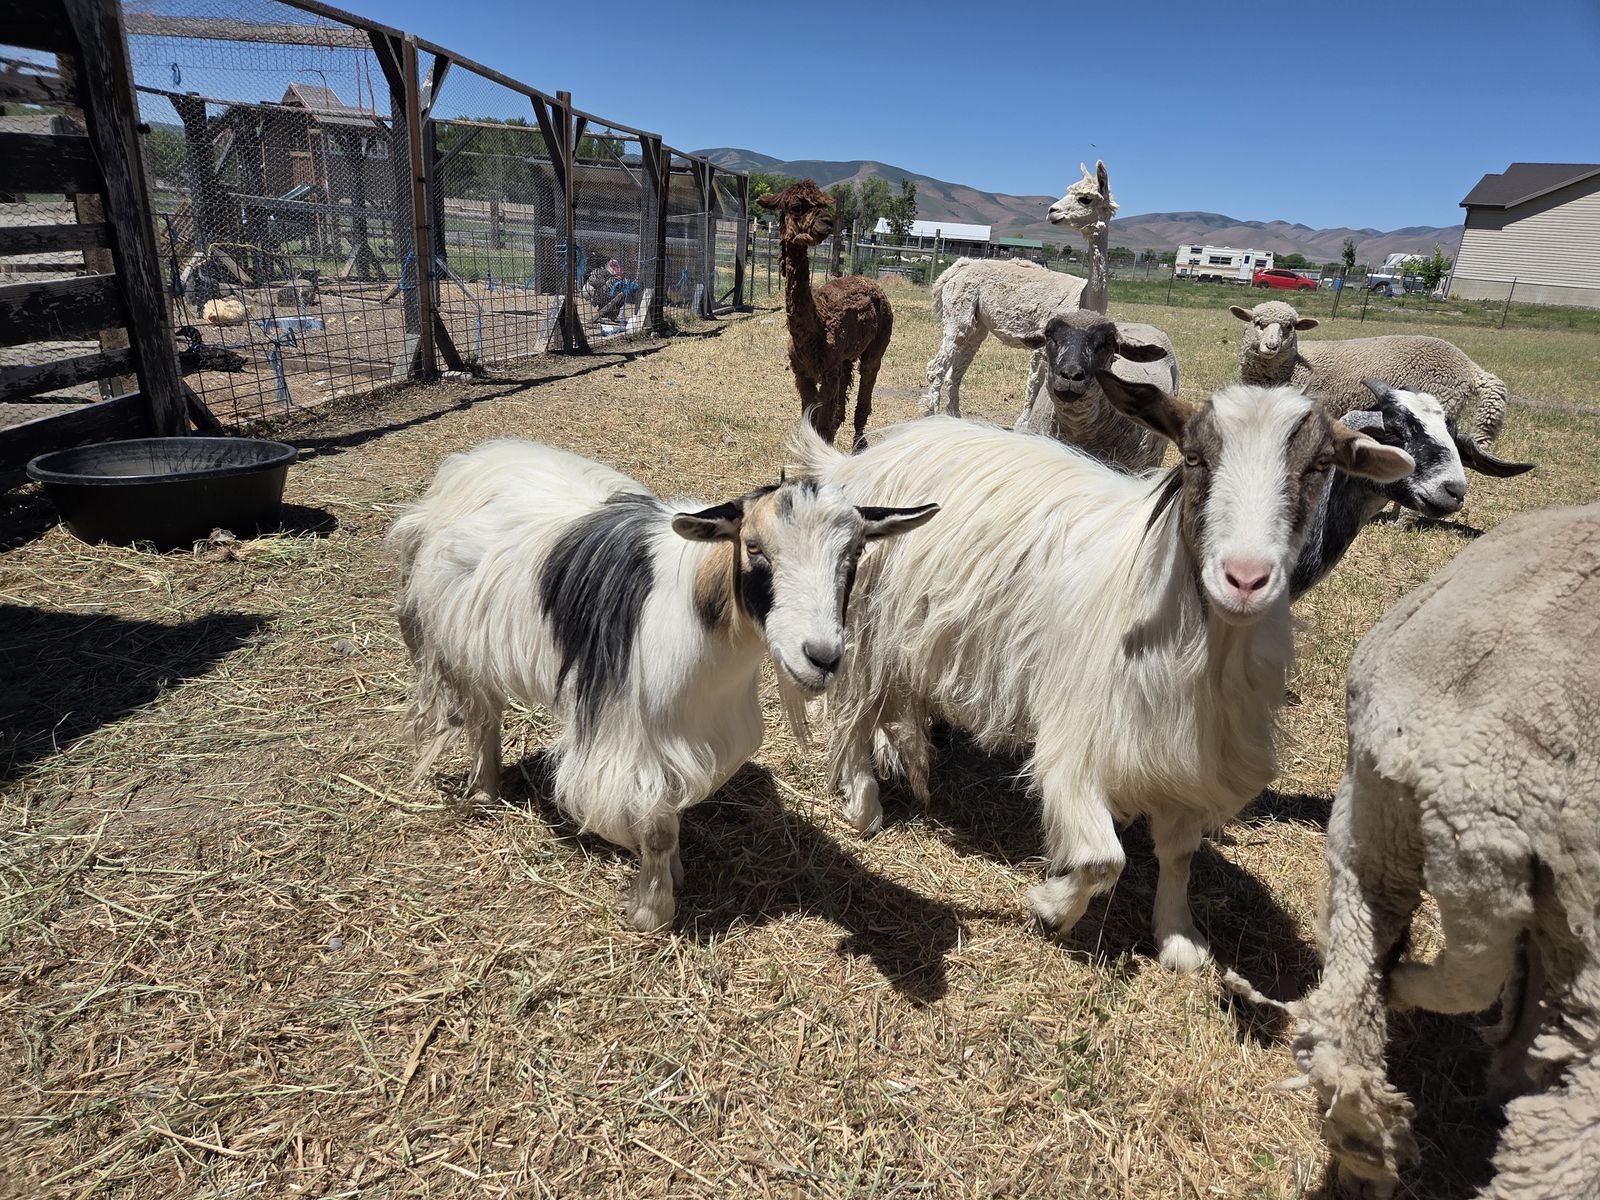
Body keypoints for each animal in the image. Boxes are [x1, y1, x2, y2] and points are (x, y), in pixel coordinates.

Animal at [389, 439, 937, 931]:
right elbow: (654, 829)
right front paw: (651, 911)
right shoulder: (633, 741)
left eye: (856, 553)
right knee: (483, 716)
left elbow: (669, 818)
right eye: (754, 548)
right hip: (457, 641)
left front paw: (670, 876)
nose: (822, 657)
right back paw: (483, 793)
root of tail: (466, 464)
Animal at [793, 381, 1414, 971]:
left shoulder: (1190, 758)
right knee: (854, 707)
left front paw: (1179, 937)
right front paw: (1051, 908)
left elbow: (1179, 853)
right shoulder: (1080, 741)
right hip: (864, 620)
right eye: (1194, 456)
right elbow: (1101, 859)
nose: (1245, 578)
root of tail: (857, 462)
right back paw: (863, 803)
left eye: (1318, 465)